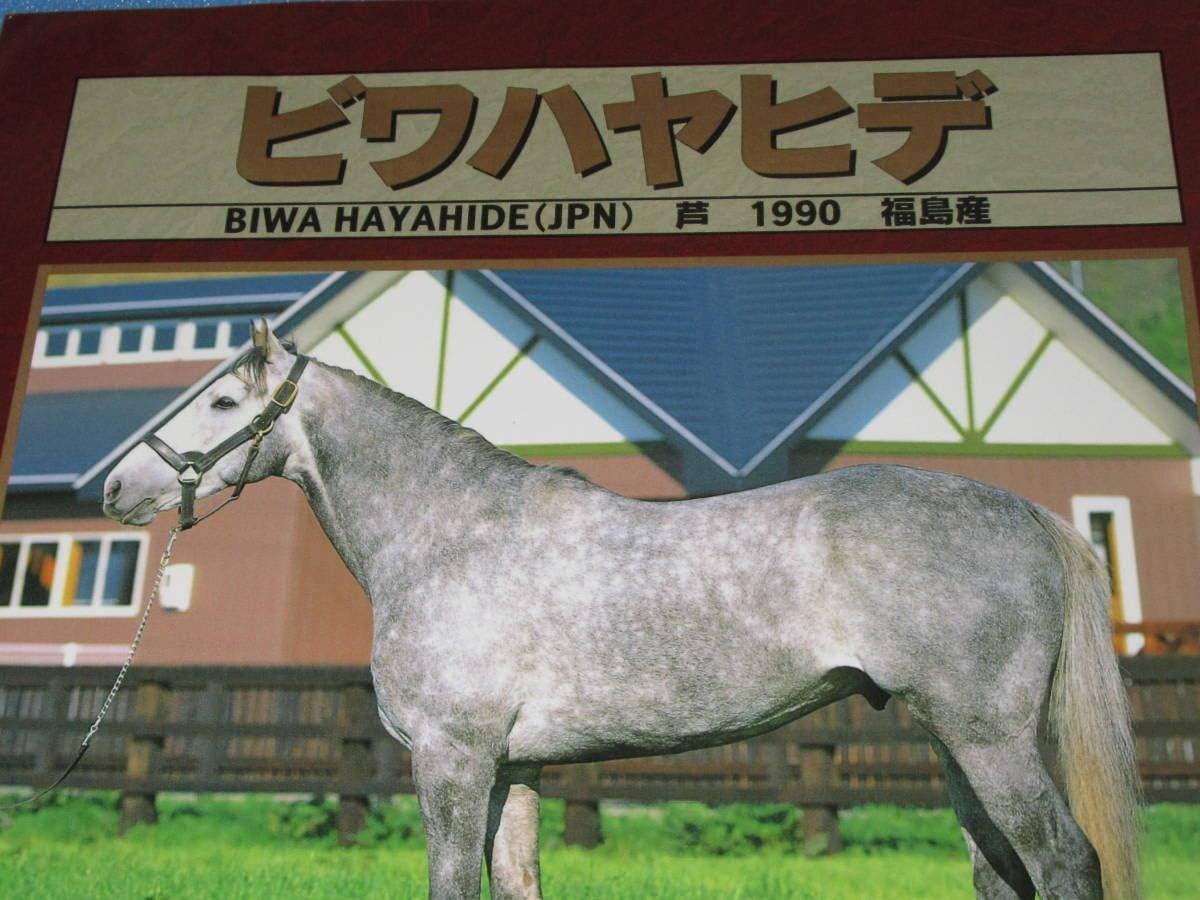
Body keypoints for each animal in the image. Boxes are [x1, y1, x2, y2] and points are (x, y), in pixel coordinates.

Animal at [102, 320, 1141, 900]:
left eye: (223, 402)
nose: (116, 489)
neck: (450, 534)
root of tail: (1029, 513)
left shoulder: (452, 760)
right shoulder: (512, 770)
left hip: (988, 740)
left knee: (1064, 862)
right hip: (955, 744)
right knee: (1000, 873)